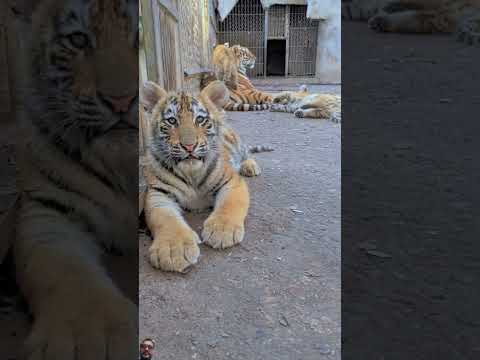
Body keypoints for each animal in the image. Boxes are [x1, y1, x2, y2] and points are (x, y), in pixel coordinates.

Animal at [142, 80, 270, 272]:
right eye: (172, 121)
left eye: (200, 119)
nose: (189, 146)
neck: (191, 172)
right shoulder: (157, 193)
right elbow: (164, 218)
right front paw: (174, 250)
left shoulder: (231, 181)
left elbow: (230, 203)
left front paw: (222, 230)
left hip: (236, 141)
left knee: (246, 152)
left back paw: (250, 166)